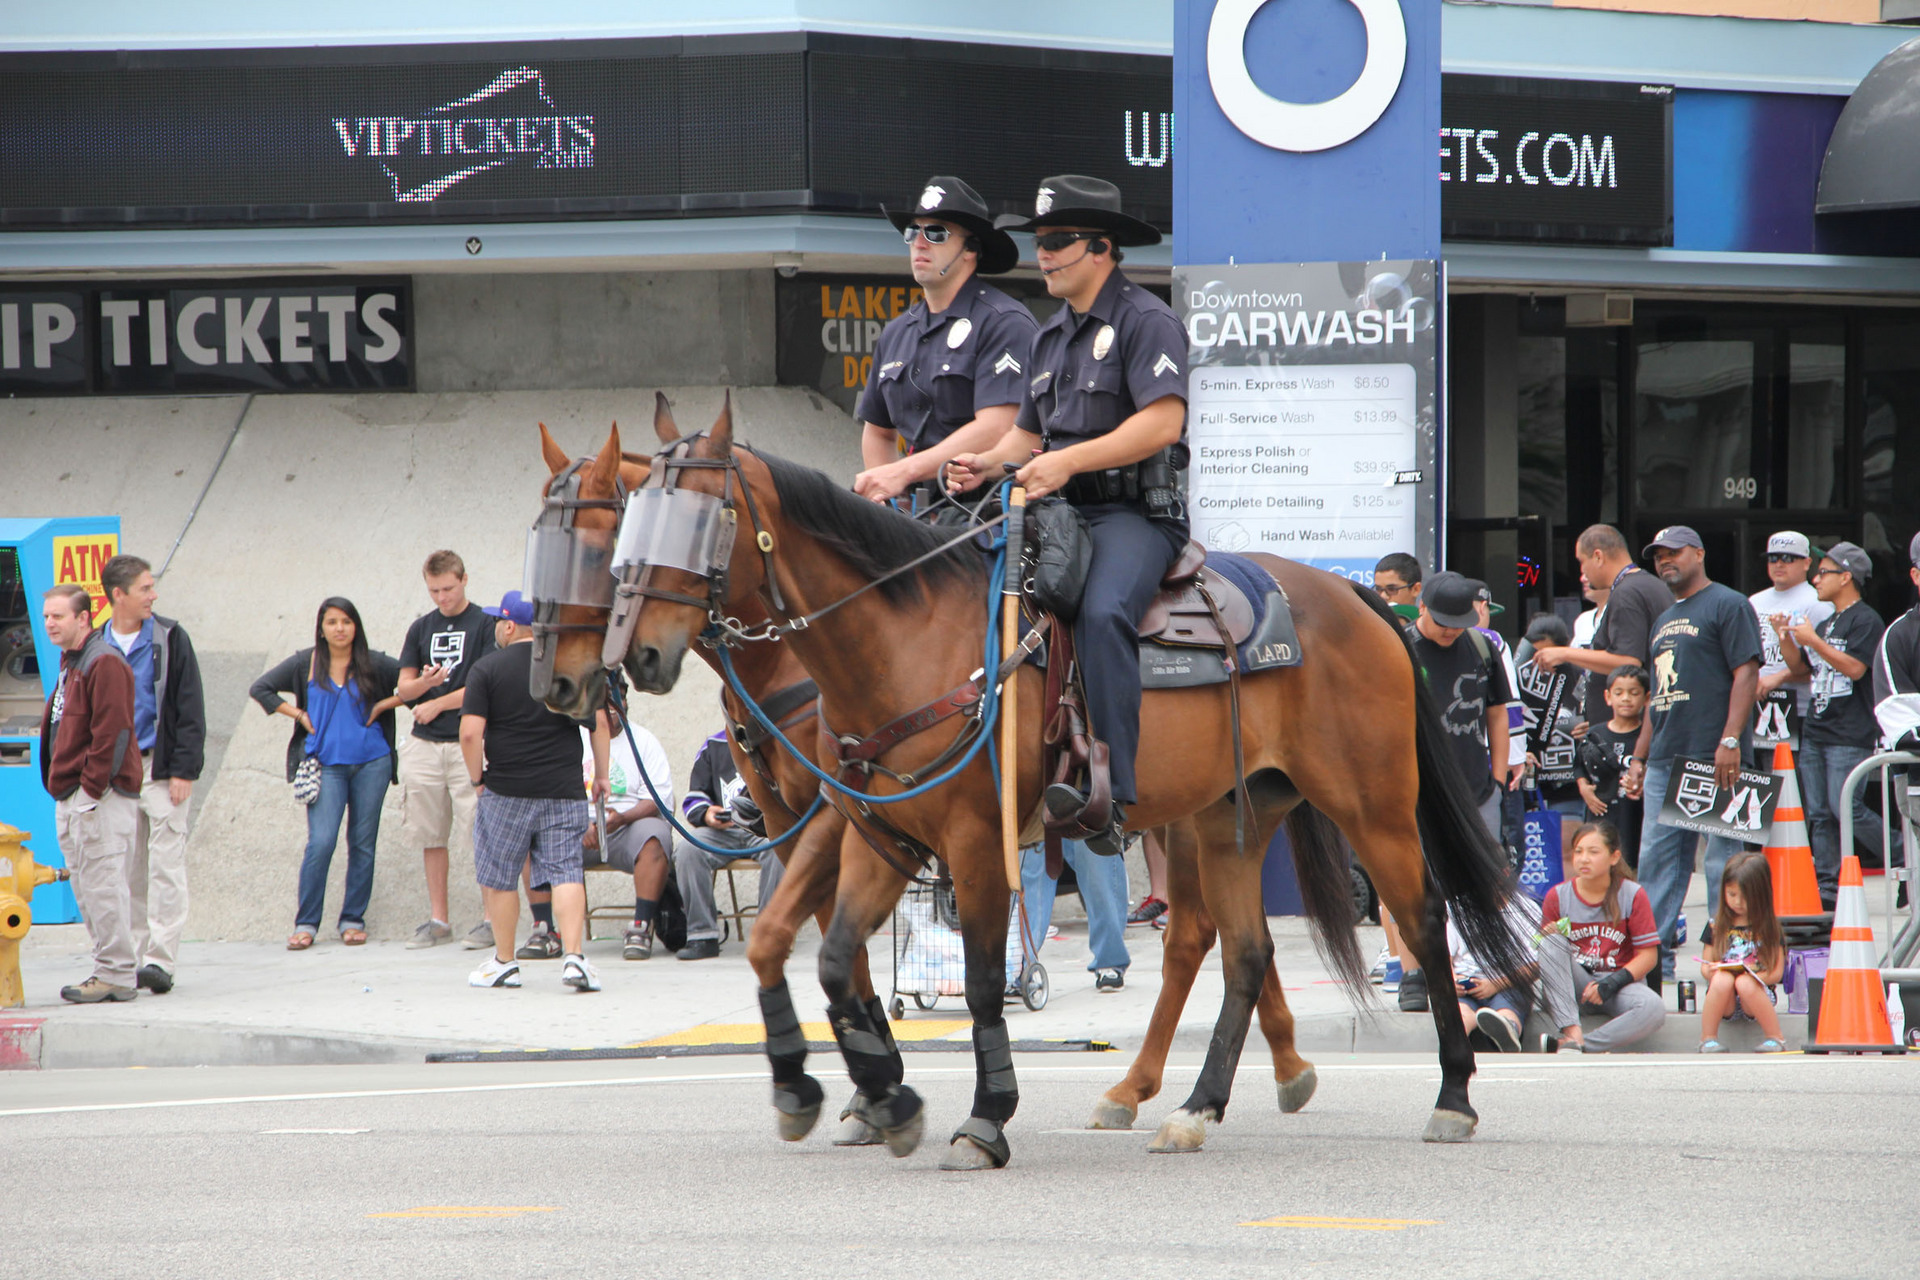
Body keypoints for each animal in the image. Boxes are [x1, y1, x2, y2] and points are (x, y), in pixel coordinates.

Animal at [593, 396, 1527, 1171]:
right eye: (632, 523)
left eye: (700, 520)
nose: (633, 656)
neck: (903, 641)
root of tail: (1352, 593)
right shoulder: (880, 835)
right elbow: (820, 955)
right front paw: (868, 1097)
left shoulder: (972, 841)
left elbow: (977, 979)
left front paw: (982, 1117)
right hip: (1233, 816)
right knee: (1244, 950)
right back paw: (1194, 1107)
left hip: (1373, 806)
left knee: (1422, 919)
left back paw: (1451, 1096)